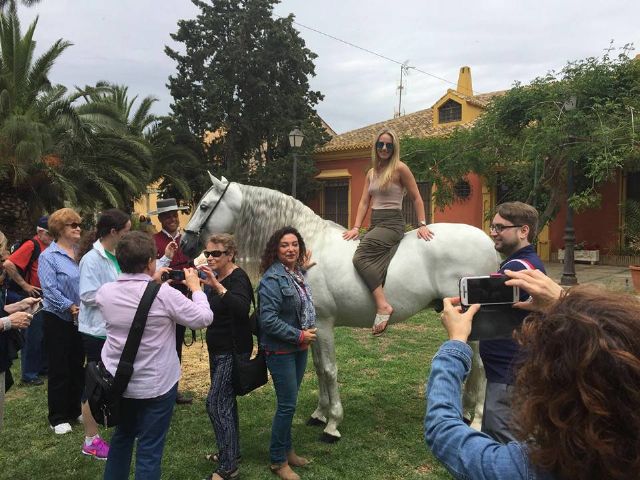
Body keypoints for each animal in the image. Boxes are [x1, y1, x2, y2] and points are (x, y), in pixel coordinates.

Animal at [182, 174, 498, 440]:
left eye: (205, 205)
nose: (184, 242)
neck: (308, 248)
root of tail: (488, 242)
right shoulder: (310, 326)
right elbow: (319, 369)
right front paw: (320, 414)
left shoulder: (323, 325)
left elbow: (329, 369)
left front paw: (333, 423)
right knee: (473, 365)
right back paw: (466, 411)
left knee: (482, 367)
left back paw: (477, 420)